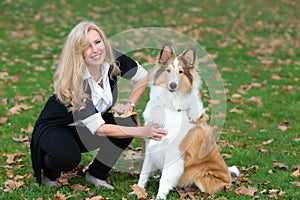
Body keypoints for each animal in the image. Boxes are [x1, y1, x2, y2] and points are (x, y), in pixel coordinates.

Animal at [137, 44, 205, 199]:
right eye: (168, 71)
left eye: (180, 72)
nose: (173, 85)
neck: (170, 103)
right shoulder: (151, 144)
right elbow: (144, 172)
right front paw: (137, 190)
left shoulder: (173, 153)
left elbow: (165, 178)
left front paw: (160, 197)